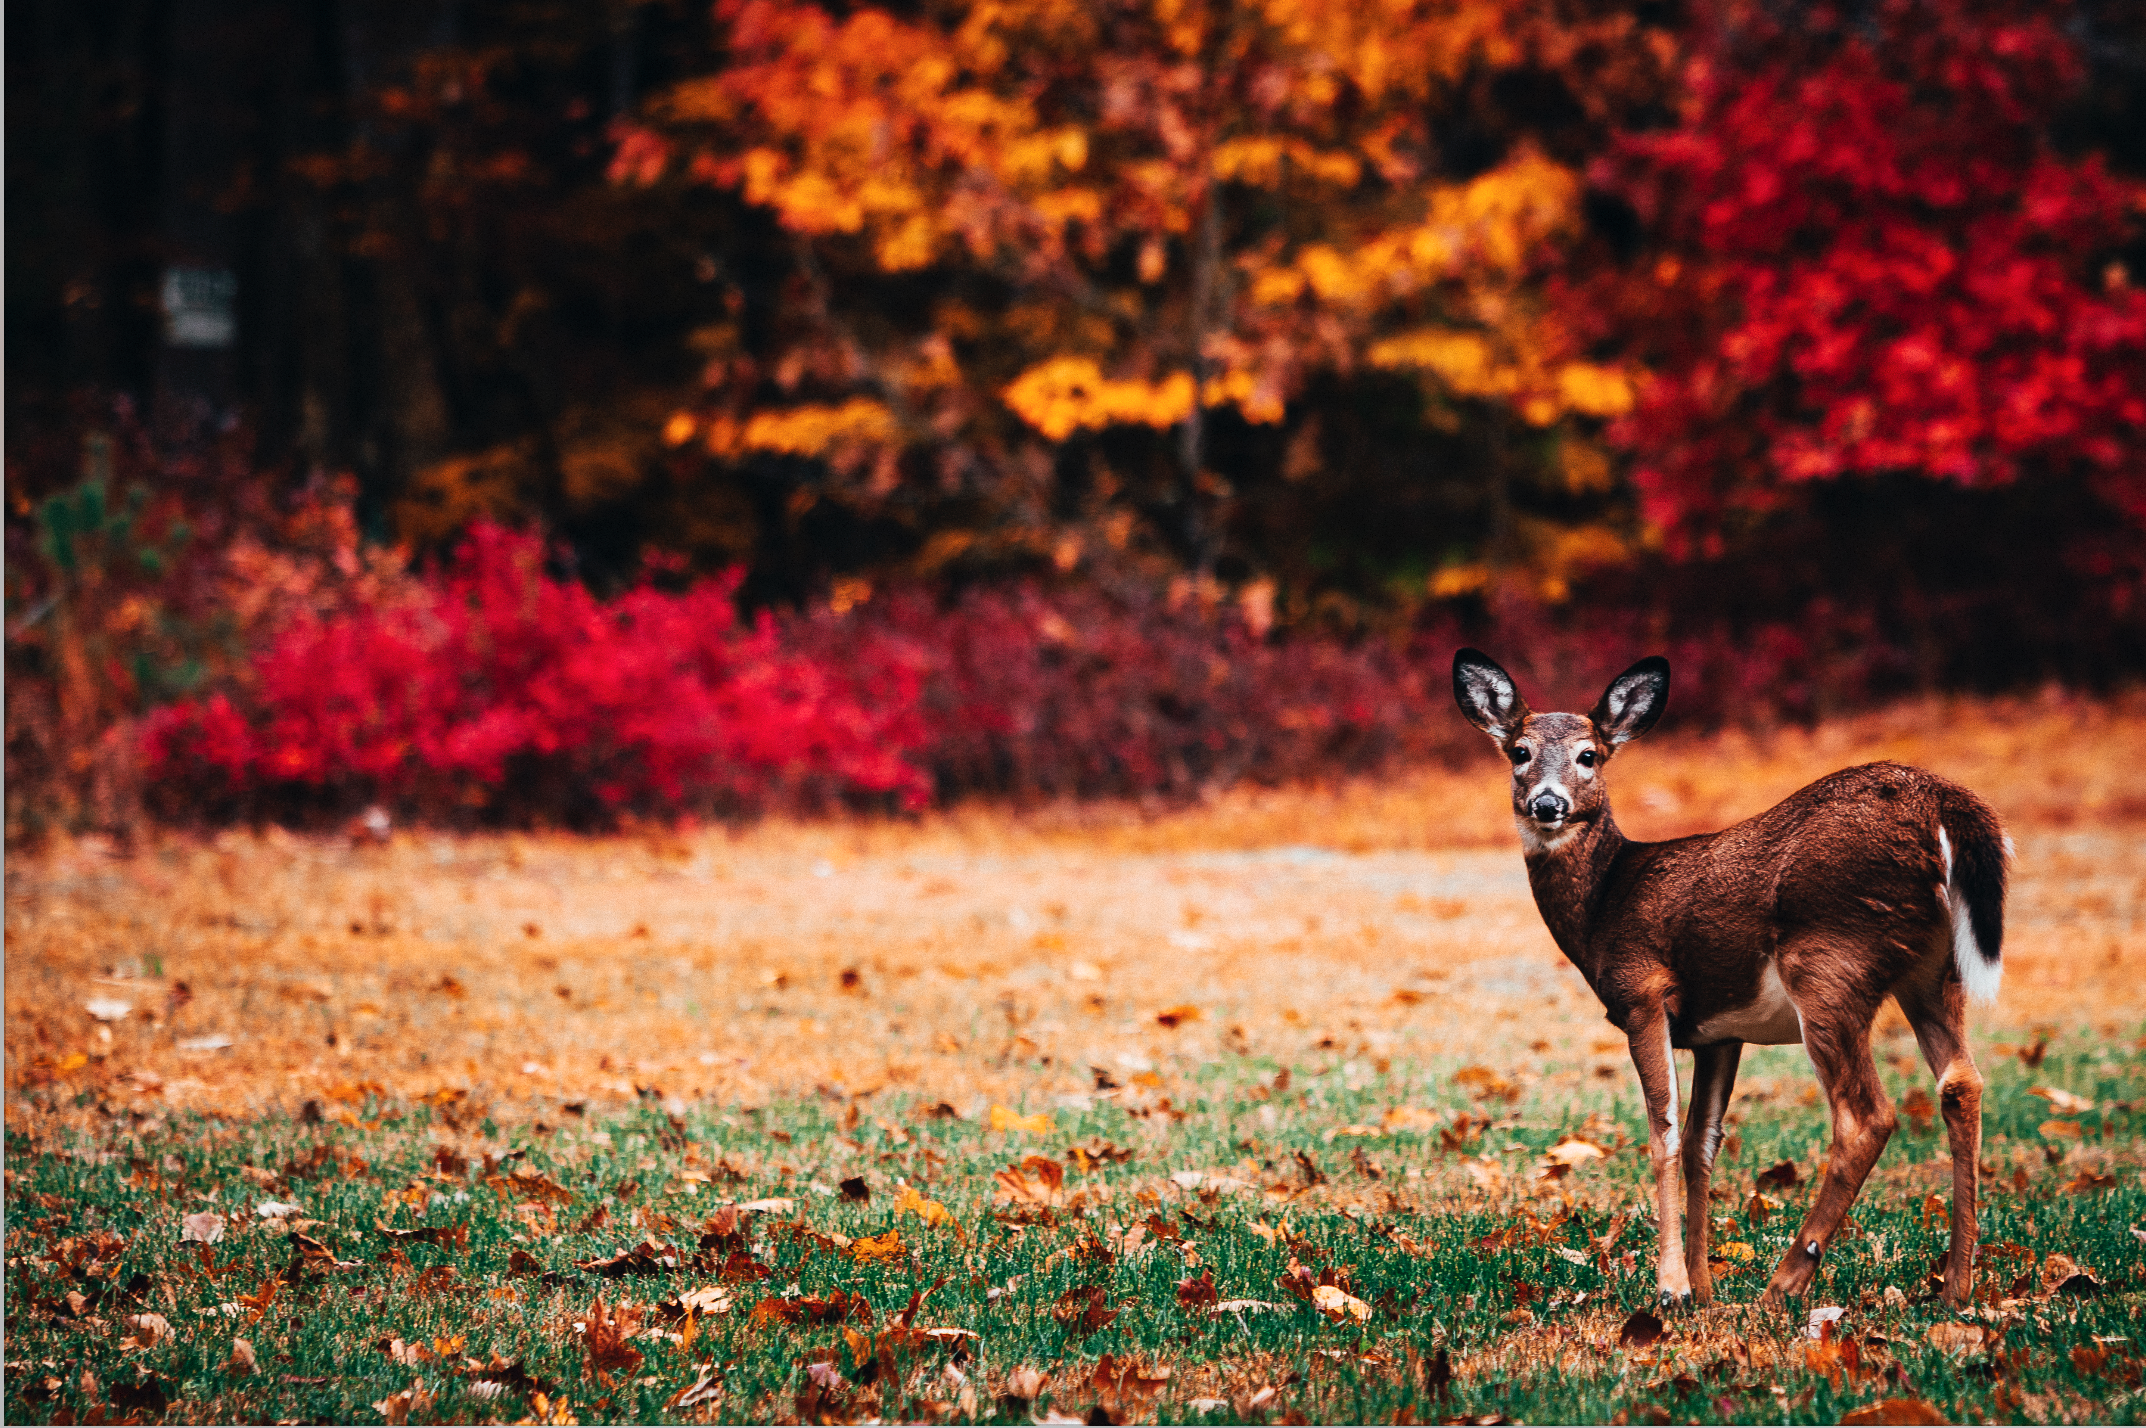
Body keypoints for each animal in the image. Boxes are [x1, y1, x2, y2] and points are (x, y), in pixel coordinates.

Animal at [1451, 648, 2009, 1310]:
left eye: (1589, 755)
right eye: (1520, 751)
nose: (1547, 803)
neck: (1603, 907)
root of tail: (1941, 803)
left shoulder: (1644, 994)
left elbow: (1664, 1133)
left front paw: (1670, 1287)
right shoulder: (1719, 1033)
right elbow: (1702, 1143)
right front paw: (1704, 1287)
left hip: (1829, 960)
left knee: (1866, 1116)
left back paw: (1784, 1283)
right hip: (1932, 969)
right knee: (1961, 1083)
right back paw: (1956, 1287)